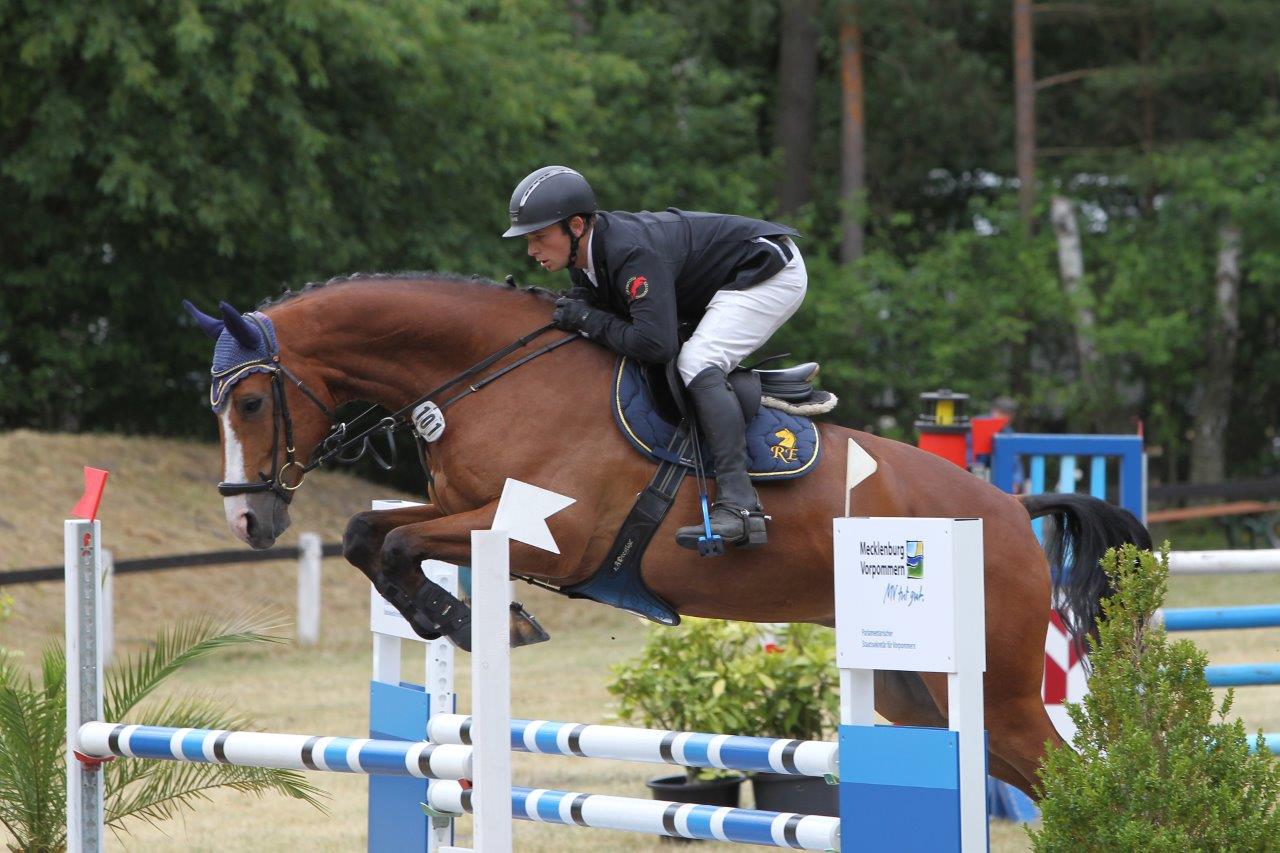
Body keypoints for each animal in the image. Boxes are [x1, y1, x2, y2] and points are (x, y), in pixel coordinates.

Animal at [187, 272, 1150, 799]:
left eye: (250, 401)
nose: (248, 518)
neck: (486, 378)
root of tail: (1011, 510)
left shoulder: (545, 538)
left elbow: (387, 541)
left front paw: (478, 621)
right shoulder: (463, 513)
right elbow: (368, 532)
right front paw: (455, 617)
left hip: (998, 691)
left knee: (1068, 776)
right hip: (918, 691)